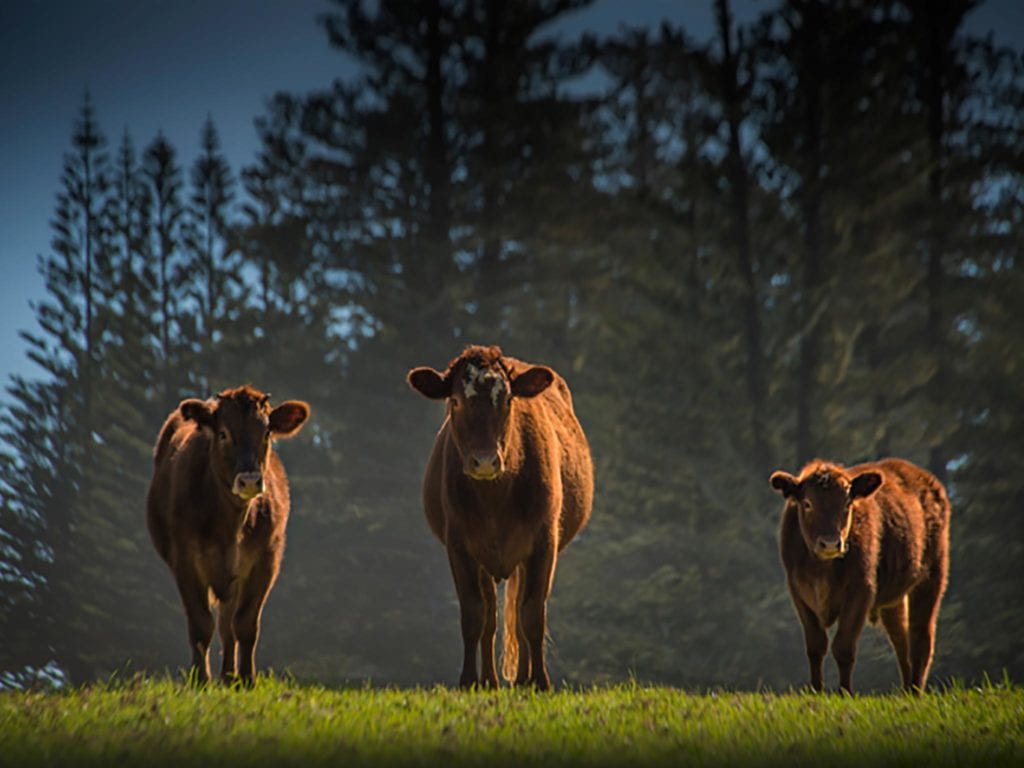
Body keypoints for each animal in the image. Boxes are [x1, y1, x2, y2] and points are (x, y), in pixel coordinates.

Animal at [146, 387, 309, 688]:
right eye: (223, 433)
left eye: (266, 433)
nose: (250, 480)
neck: (230, 525)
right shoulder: (184, 560)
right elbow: (201, 624)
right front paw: (200, 679)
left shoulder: (266, 559)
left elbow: (245, 624)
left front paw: (246, 679)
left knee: (227, 624)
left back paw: (230, 676)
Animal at [403, 344, 589, 692]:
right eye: (455, 401)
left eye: (507, 400)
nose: (485, 461)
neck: (496, 498)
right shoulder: (459, 545)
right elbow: (474, 615)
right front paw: (468, 681)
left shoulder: (544, 541)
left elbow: (532, 613)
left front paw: (540, 682)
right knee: (491, 616)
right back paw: (490, 679)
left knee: (517, 612)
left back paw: (523, 679)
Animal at [770, 460, 950, 696]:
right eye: (807, 504)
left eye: (847, 504)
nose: (830, 543)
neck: (821, 568)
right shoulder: (799, 593)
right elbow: (816, 645)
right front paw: (816, 690)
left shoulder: (860, 591)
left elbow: (843, 646)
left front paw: (844, 692)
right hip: (893, 599)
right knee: (901, 641)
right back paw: (906, 690)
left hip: (932, 578)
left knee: (920, 637)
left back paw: (915, 691)